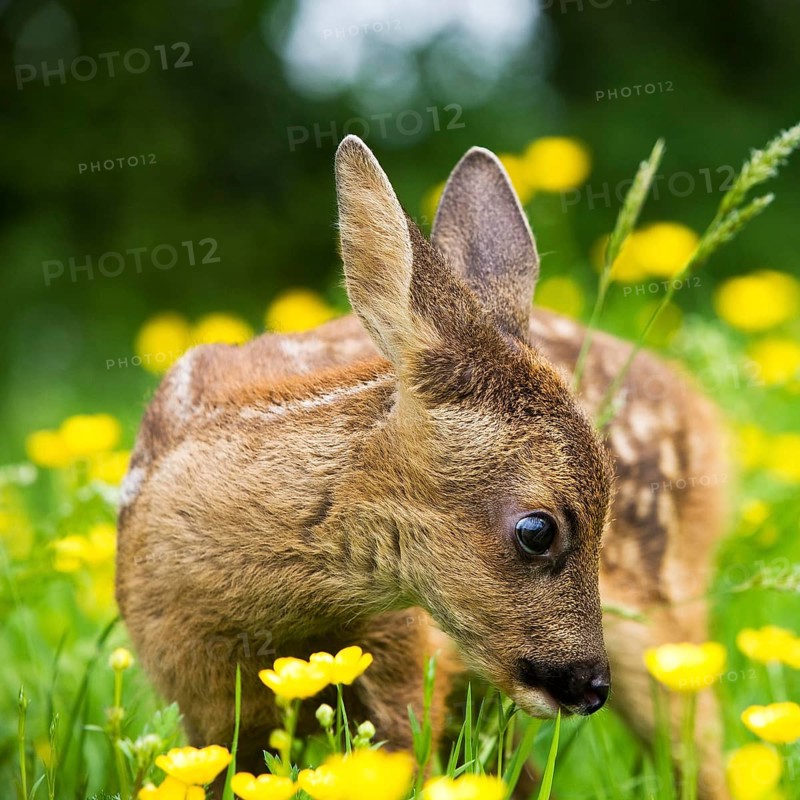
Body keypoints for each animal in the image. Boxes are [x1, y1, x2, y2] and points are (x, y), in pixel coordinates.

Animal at [116, 135, 728, 797]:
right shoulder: (198, 702)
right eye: (536, 530)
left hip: (663, 614)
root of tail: (699, 409)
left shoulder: (407, 657)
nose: (589, 685)